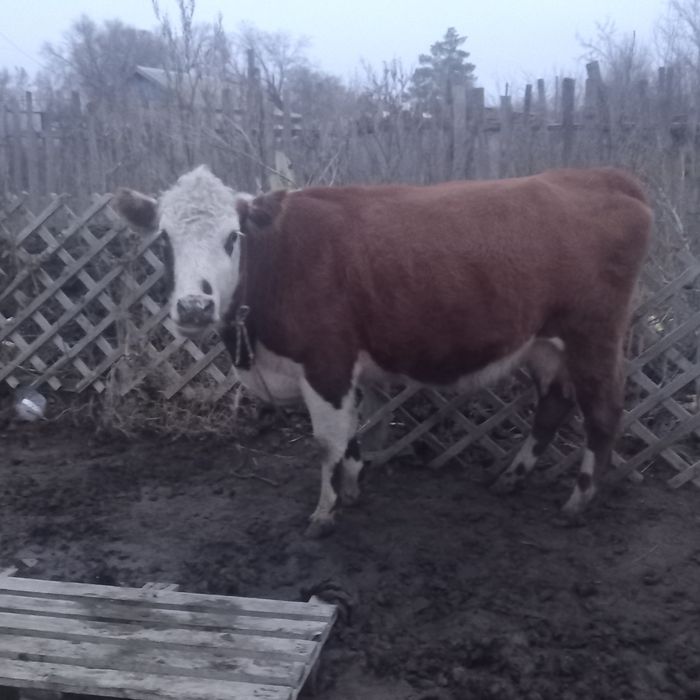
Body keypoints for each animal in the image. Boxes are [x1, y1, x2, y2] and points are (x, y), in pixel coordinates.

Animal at [114, 165, 652, 537]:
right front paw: (352, 486)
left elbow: (327, 441)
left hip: (594, 337)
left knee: (602, 414)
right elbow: (350, 434)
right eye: (164, 239)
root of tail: (604, 176)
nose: (194, 306)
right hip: (544, 343)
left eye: (233, 237)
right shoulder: (340, 370)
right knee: (553, 405)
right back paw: (512, 477)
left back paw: (577, 504)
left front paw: (324, 513)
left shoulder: (326, 361)